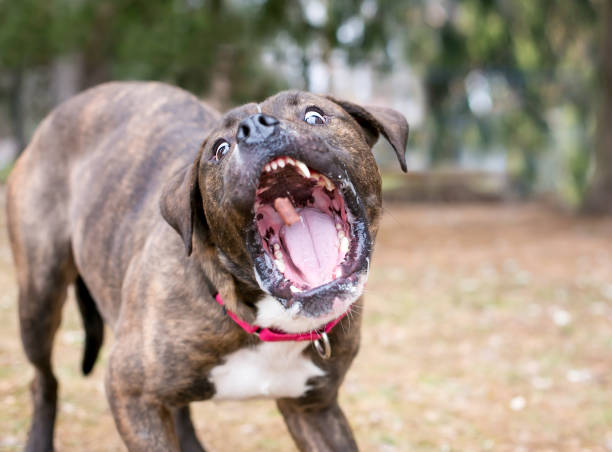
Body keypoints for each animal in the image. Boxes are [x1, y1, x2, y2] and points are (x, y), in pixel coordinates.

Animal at [7, 82, 408, 452]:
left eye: (314, 116)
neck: (266, 321)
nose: (255, 127)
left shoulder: (315, 411)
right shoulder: (130, 394)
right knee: (43, 380)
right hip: (39, 299)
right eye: (220, 149)